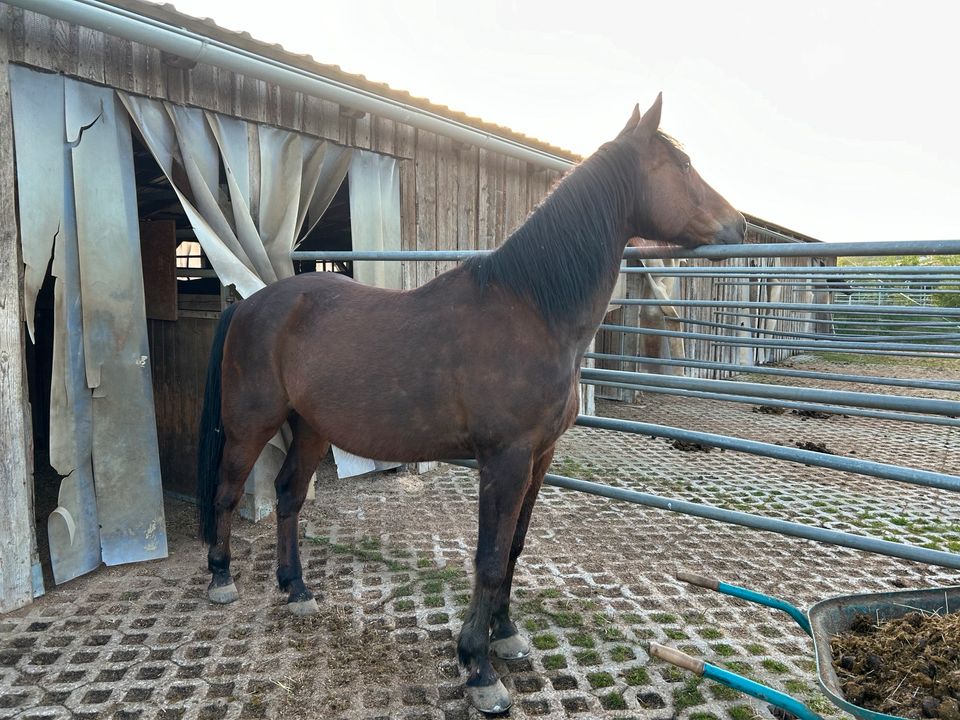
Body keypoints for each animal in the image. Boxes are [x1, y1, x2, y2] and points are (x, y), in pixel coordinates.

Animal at [199, 94, 748, 716]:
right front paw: (478, 667)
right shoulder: (504, 460)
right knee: (227, 491)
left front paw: (505, 636)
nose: (739, 224)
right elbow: (488, 558)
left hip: (311, 427)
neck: (532, 309)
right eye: (681, 166)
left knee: (289, 497)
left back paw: (296, 589)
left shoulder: (539, 459)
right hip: (249, 425)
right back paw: (221, 580)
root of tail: (251, 303)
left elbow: (513, 548)